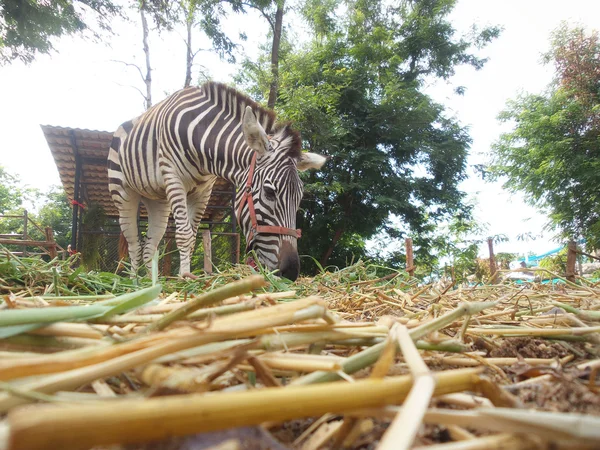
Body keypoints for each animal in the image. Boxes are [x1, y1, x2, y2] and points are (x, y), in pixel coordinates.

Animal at [105, 79, 326, 280]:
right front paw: (185, 279)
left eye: (299, 198)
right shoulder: (174, 178)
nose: (291, 272)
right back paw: (133, 286)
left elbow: (192, 236)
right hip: (123, 193)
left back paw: (150, 284)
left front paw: (184, 279)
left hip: (158, 200)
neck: (201, 140)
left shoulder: (204, 190)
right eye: (269, 192)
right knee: (134, 244)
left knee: (150, 246)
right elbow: (184, 234)